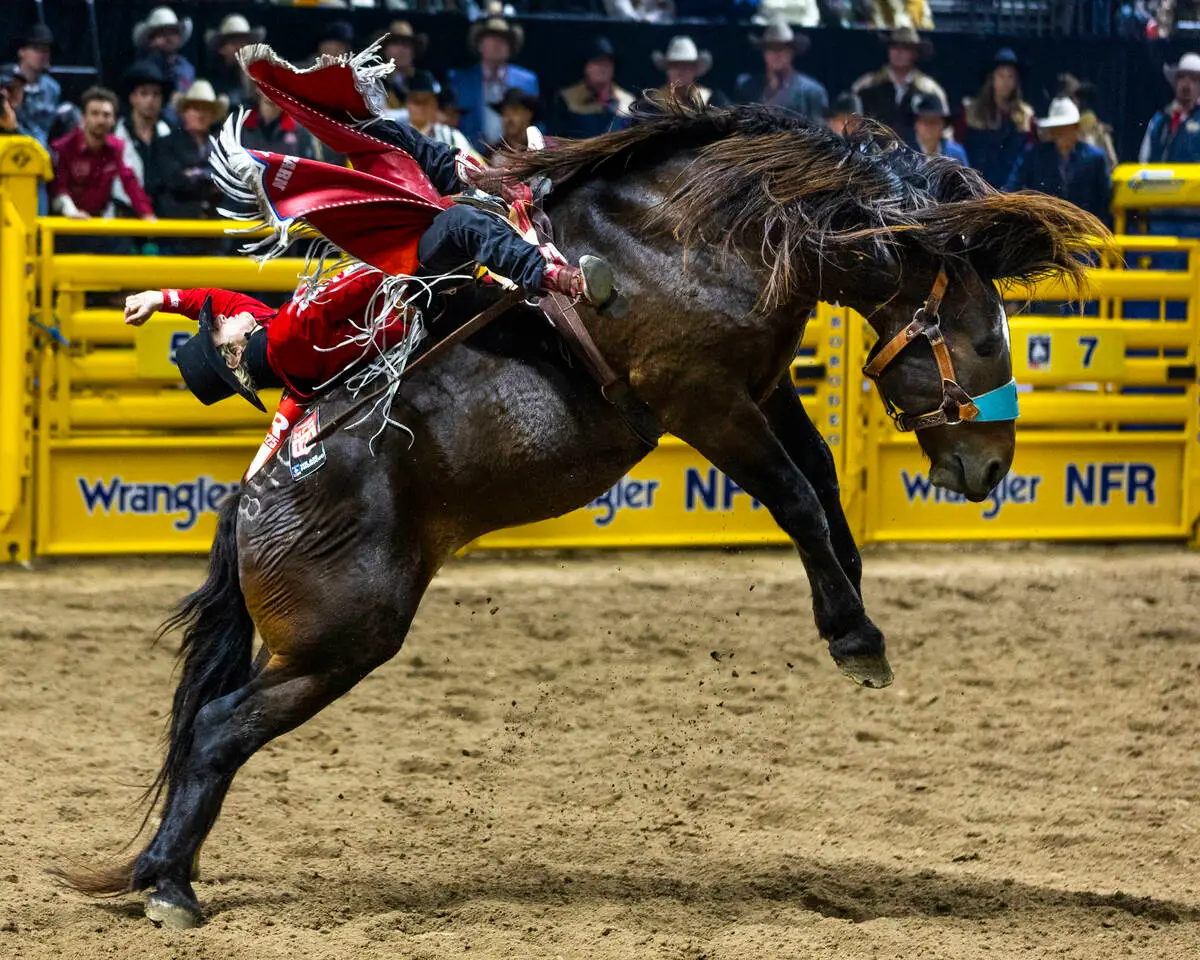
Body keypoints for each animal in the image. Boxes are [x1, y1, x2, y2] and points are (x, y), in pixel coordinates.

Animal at [54, 103, 1104, 928]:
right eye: (982, 337)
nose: (990, 467)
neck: (689, 238)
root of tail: (251, 500)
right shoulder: (702, 400)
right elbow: (796, 497)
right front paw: (855, 637)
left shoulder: (764, 386)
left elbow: (821, 487)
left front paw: (854, 603)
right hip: (341, 639)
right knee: (218, 727)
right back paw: (169, 886)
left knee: (210, 730)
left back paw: (166, 872)